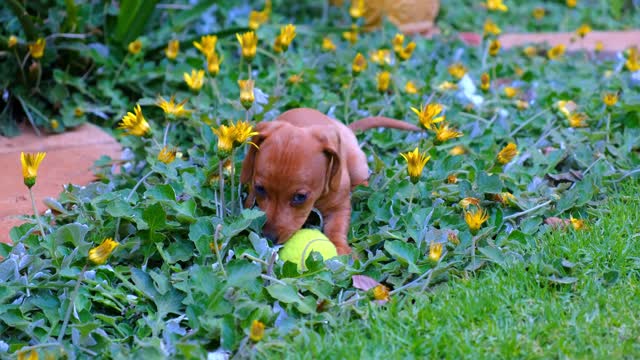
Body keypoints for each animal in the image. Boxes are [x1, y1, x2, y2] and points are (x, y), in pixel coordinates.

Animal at [241, 108, 420, 255]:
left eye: (300, 197)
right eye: (260, 188)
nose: (268, 237)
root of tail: (346, 128)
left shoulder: (339, 207)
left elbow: (336, 227)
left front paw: (339, 247)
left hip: (357, 165)